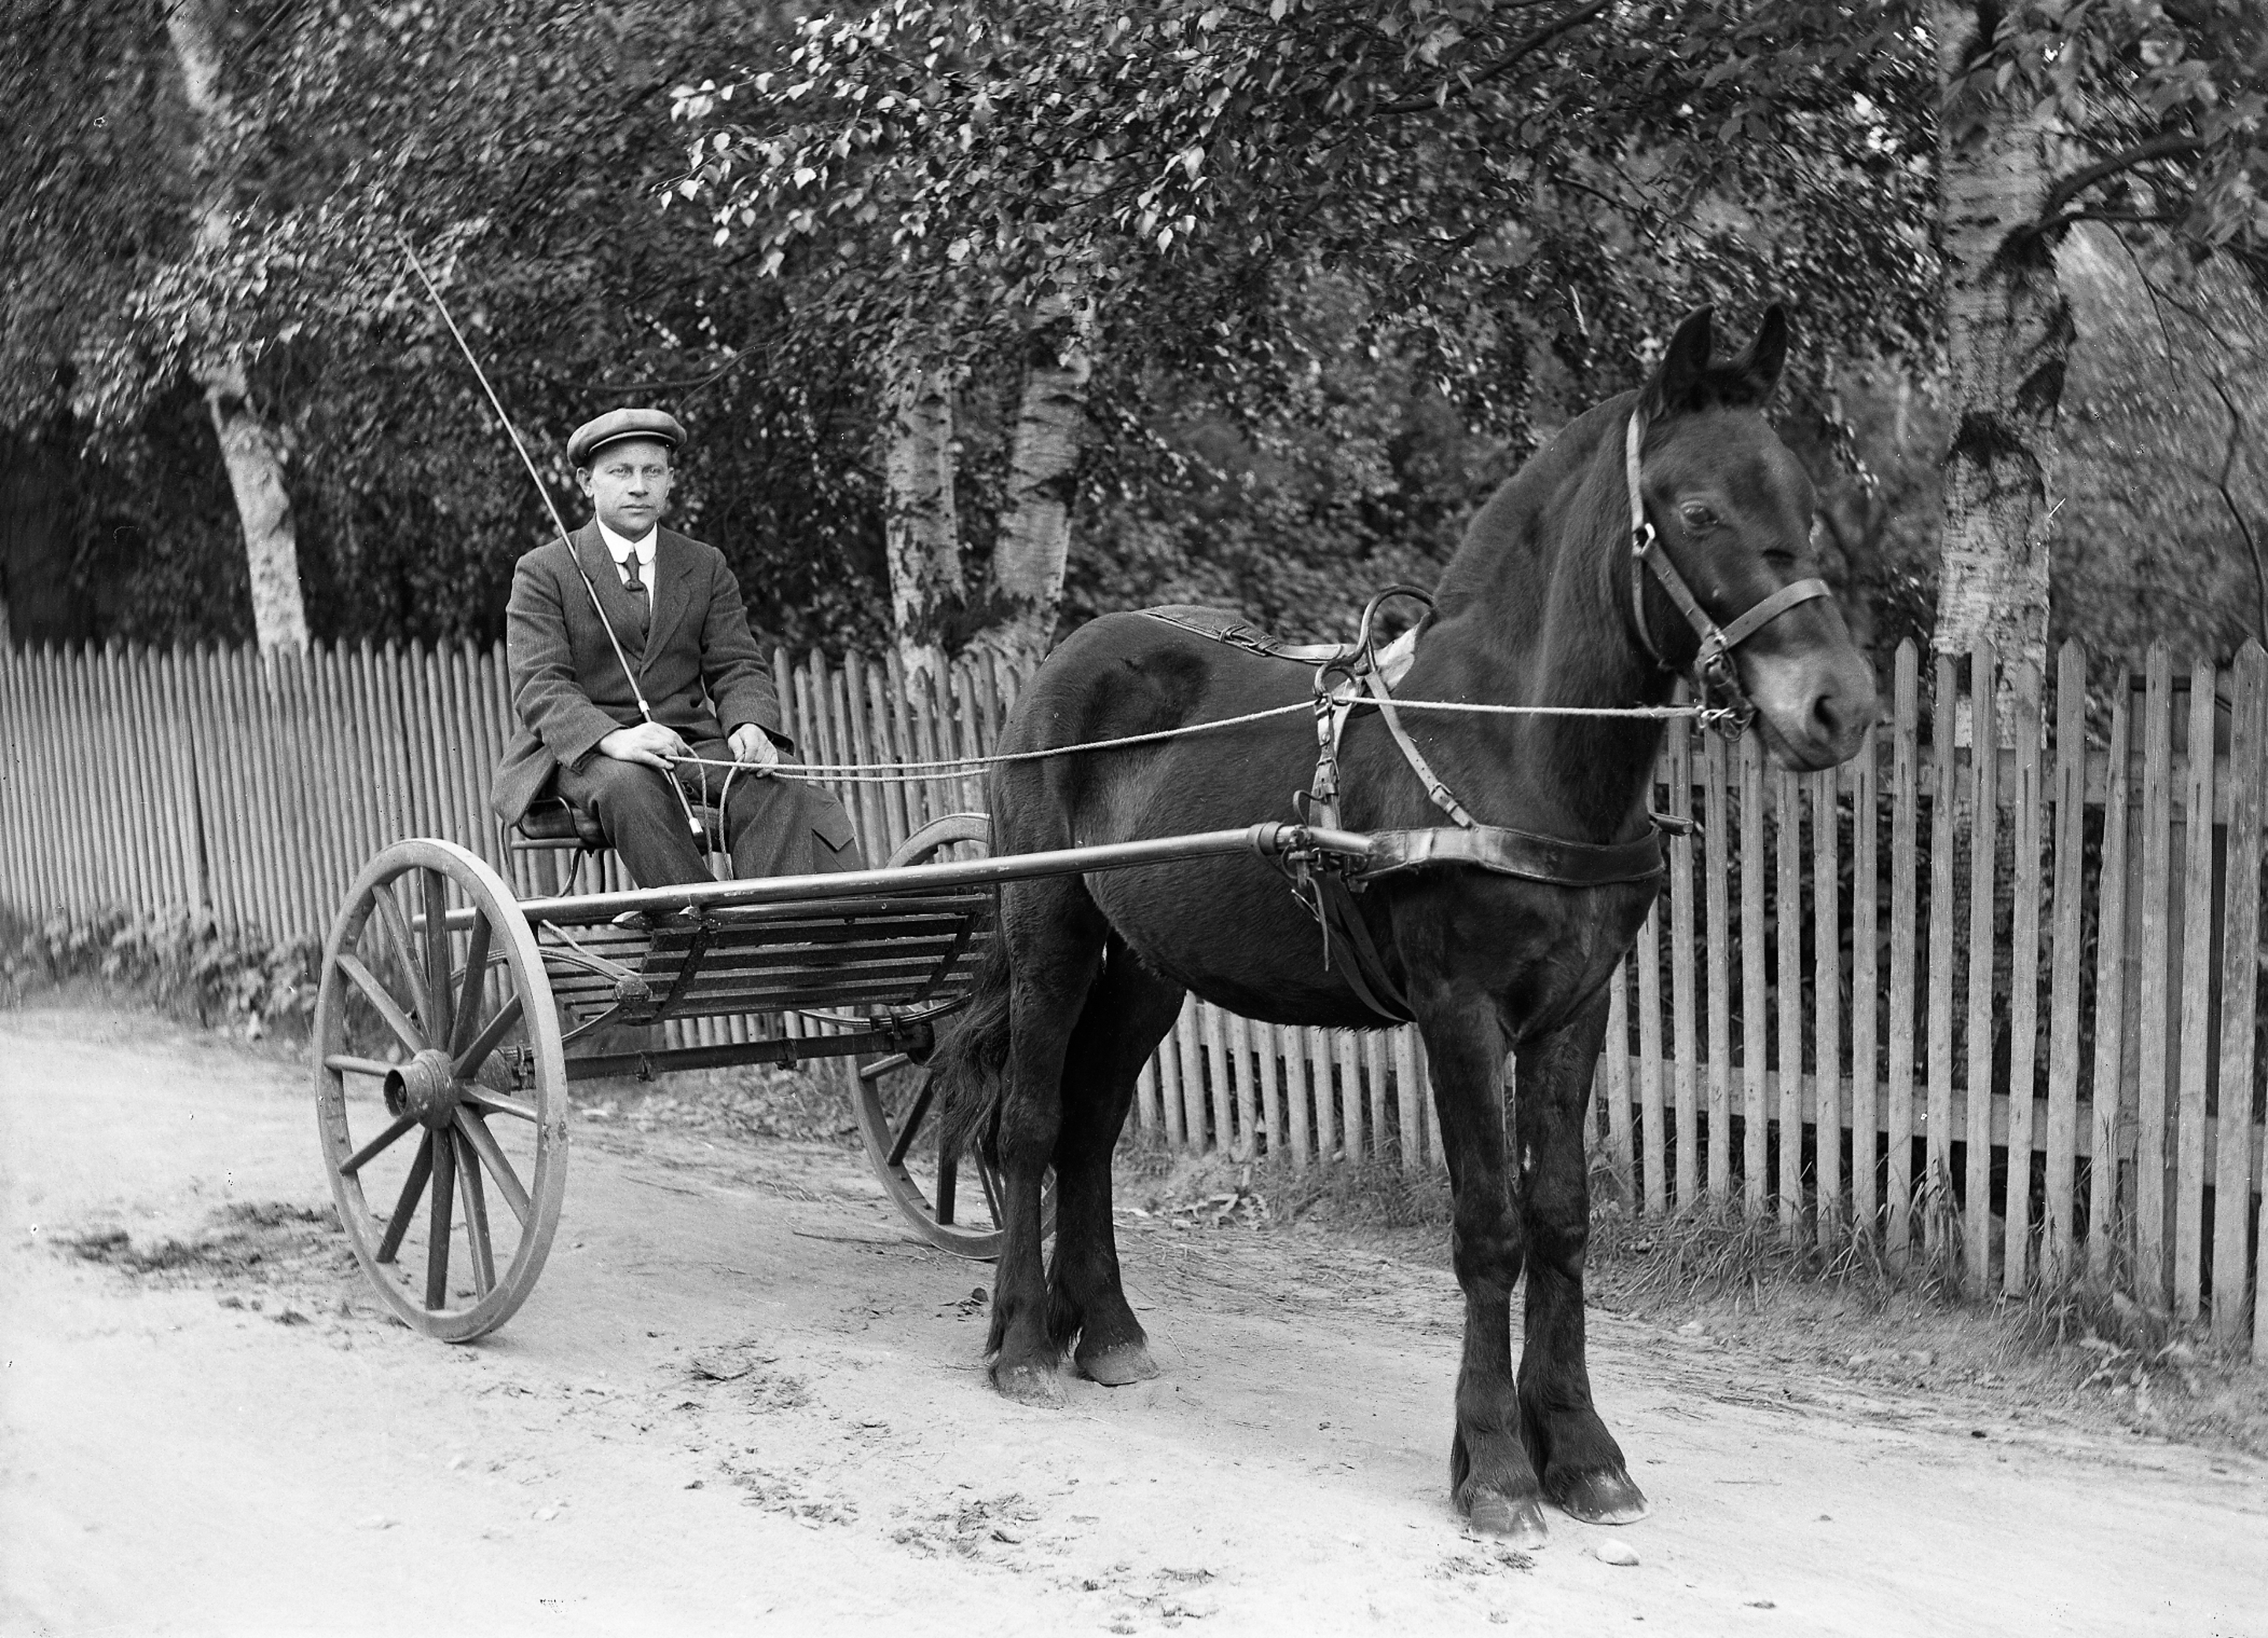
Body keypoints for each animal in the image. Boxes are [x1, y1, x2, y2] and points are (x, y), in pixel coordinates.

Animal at [930, 305, 1877, 1544]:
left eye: (1804, 501)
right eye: (1696, 509)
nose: (1838, 706)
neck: (1512, 743)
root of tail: (1066, 663)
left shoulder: (1573, 1010)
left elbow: (1560, 1218)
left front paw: (1580, 1449)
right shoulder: (1457, 1009)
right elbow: (1489, 1227)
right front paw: (1496, 1465)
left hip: (1144, 970)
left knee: (1090, 1126)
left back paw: (1109, 1332)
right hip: (1051, 936)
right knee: (1032, 1124)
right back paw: (1022, 1344)